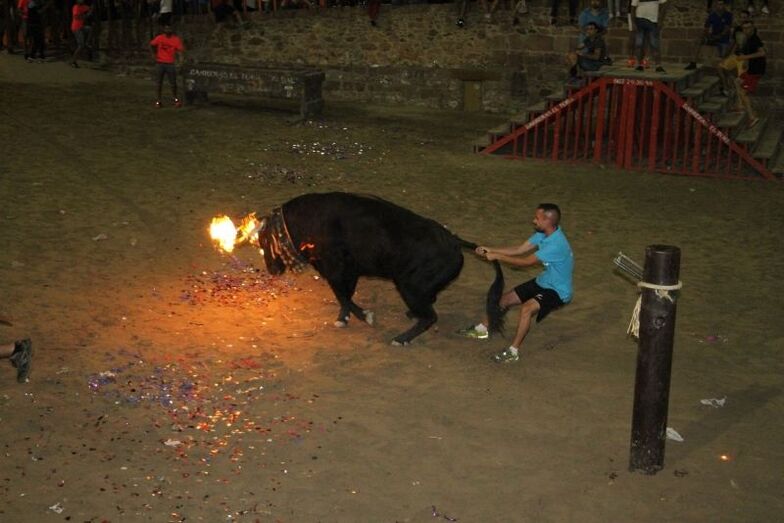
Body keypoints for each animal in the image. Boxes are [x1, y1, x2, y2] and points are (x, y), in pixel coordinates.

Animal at [255, 192, 505, 345]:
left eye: (265, 240)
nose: (272, 270)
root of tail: (454, 241)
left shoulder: (337, 270)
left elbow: (342, 295)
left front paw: (365, 316)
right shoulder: (349, 271)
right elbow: (345, 296)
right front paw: (344, 318)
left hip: (409, 286)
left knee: (430, 316)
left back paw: (401, 338)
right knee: (429, 304)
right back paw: (411, 315)